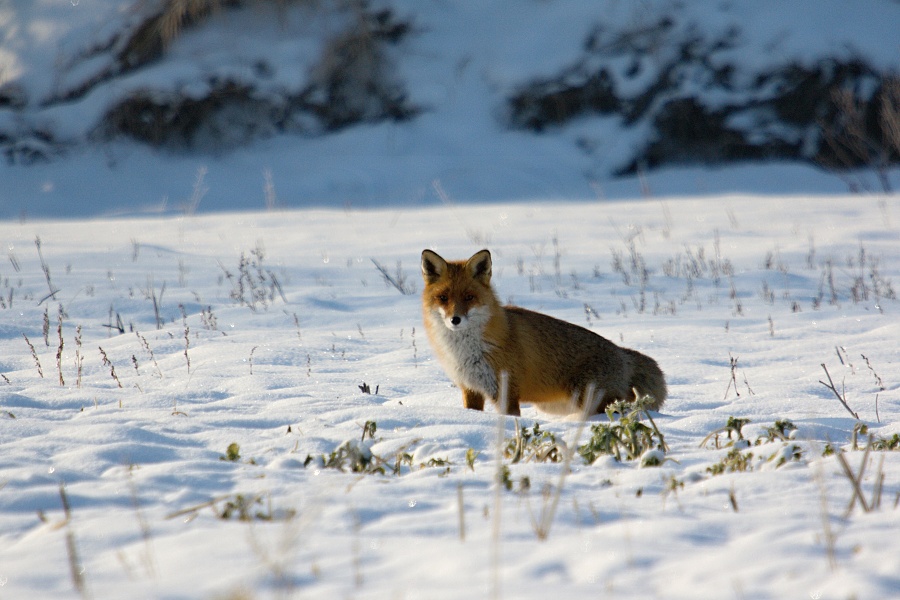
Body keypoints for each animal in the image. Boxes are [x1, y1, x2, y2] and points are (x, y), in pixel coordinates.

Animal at [420, 248, 666, 416]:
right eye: (443, 298)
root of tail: (621, 352)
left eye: (469, 297)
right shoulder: (471, 389)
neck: (466, 350)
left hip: (588, 399)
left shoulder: (506, 391)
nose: (455, 319)